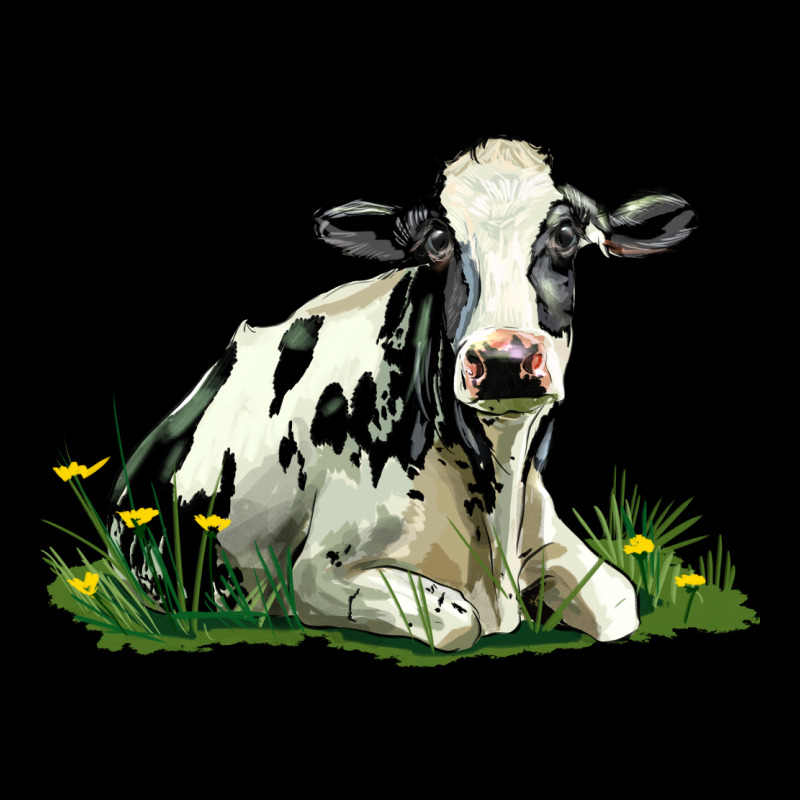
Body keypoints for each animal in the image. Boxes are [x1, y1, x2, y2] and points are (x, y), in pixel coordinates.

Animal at [111, 137, 695, 651]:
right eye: (437, 242)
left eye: (568, 235)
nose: (504, 361)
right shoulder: (316, 574)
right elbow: (459, 621)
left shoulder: (546, 531)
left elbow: (619, 602)